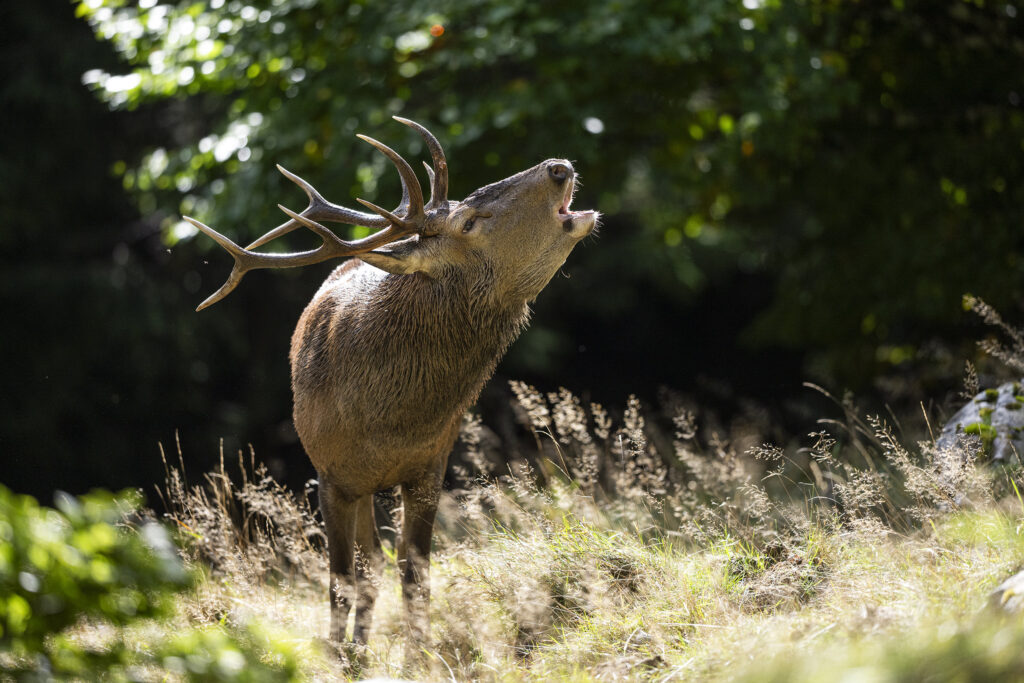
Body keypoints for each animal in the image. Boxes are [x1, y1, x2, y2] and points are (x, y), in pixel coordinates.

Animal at [183, 117, 597, 653]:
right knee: (365, 565)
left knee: (379, 562)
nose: (558, 167)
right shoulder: (330, 475)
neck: (387, 423)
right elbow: (340, 580)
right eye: (469, 221)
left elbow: (414, 573)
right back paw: (354, 650)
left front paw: (418, 658)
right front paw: (338, 656)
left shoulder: (430, 466)